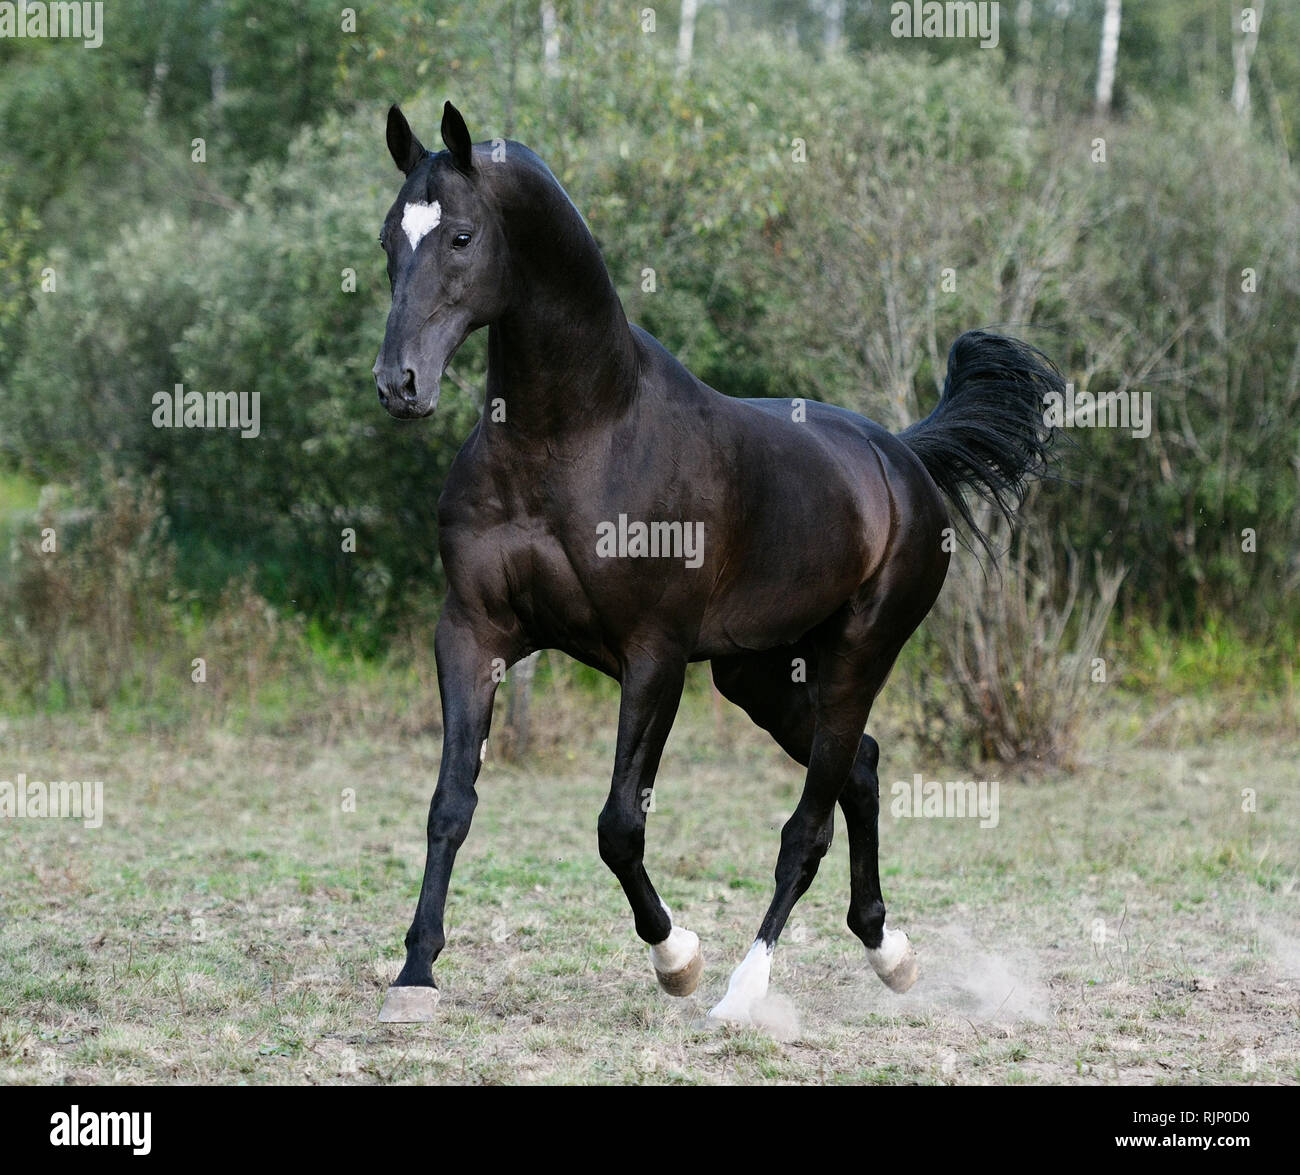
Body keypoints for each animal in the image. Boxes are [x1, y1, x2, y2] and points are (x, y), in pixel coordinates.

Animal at [371, 103, 1060, 1019]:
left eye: (461, 236)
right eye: (388, 238)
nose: (399, 383)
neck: (576, 435)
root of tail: (904, 457)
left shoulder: (654, 657)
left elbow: (619, 825)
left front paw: (678, 958)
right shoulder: (473, 633)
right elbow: (451, 803)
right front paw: (416, 973)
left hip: (859, 655)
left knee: (810, 823)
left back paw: (745, 988)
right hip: (759, 673)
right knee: (863, 769)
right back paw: (889, 951)